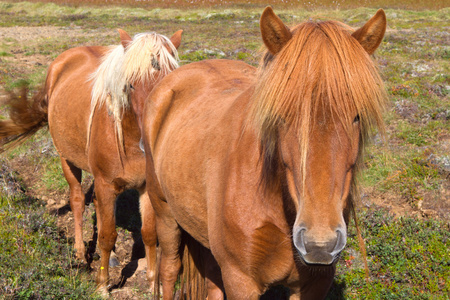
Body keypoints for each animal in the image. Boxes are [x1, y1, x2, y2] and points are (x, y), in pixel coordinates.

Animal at [0, 29, 183, 290]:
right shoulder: (106, 183)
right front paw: (102, 285)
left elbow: (148, 233)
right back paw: (79, 252)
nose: (148, 140)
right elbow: (107, 235)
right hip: (67, 159)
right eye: (129, 84)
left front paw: (150, 283)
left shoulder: (145, 186)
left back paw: (112, 256)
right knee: (77, 201)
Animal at [143, 7, 386, 300]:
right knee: (169, 269)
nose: (319, 245)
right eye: (281, 116)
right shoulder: (240, 281)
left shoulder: (315, 284)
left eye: (357, 116)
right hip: (165, 213)